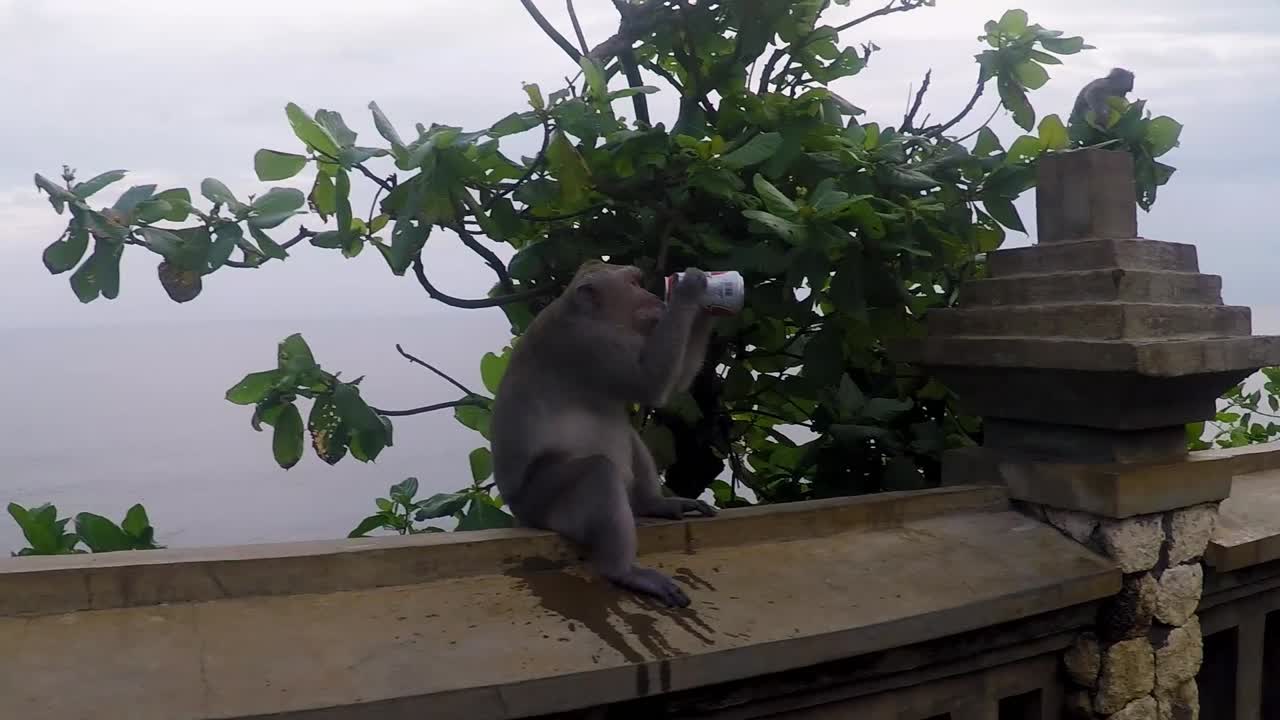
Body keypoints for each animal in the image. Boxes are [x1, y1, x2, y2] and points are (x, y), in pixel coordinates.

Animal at [490, 261, 718, 608]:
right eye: (634, 284)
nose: (654, 295)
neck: (589, 314)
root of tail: (521, 515)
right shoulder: (589, 344)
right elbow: (649, 383)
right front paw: (689, 290)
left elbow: (674, 385)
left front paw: (708, 306)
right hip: (542, 503)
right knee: (597, 472)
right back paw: (622, 571)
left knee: (629, 436)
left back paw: (654, 504)